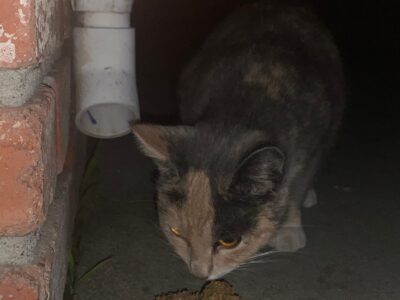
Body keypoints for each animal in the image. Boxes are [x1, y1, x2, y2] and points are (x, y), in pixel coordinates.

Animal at [133, 1, 346, 280]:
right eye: (177, 233)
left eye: (229, 242)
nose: (199, 274)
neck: (241, 106)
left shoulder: (310, 147)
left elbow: (295, 190)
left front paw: (289, 229)